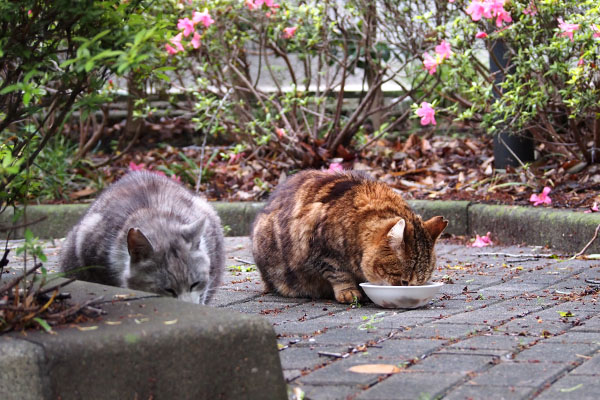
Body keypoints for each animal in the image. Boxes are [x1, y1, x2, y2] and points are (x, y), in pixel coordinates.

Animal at [251, 170, 448, 304]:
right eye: (404, 281)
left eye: (420, 282)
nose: (410, 291)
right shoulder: (322, 251)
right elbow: (338, 273)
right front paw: (349, 291)